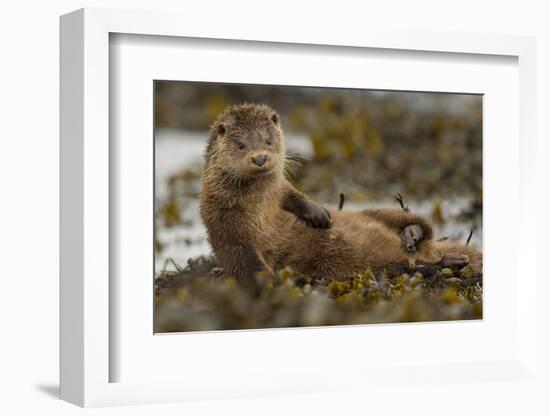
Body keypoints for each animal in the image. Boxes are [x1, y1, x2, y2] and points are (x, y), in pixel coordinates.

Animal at [199, 103, 484, 290]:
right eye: (241, 145)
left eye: (268, 140)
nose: (259, 157)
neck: (260, 207)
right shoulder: (226, 228)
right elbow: (246, 266)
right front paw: (277, 283)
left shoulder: (279, 190)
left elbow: (293, 195)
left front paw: (319, 215)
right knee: (405, 267)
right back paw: (449, 262)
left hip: (377, 211)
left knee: (420, 226)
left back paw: (411, 234)